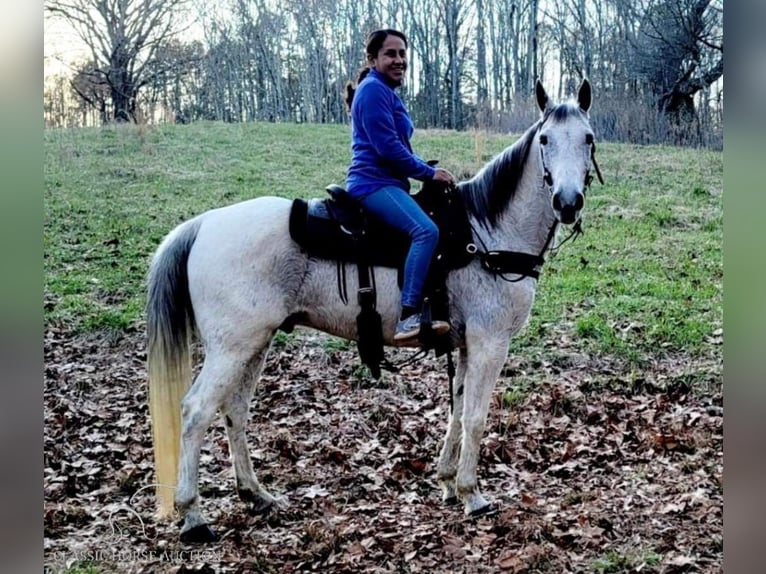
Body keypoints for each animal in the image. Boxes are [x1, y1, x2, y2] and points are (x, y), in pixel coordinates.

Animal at [144, 79, 600, 544]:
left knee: (234, 410)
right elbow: (475, 417)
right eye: (544, 140)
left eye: (588, 138)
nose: (567, 202)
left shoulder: (467, 344)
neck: (485, 234)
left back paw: (256, 495)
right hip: (232, 348)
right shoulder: (490, 342)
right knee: (196, 411)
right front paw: (472, 494)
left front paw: (447, 480)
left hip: (254, 344)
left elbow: (456, 410)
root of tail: (202, 225)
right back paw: (193, 515)